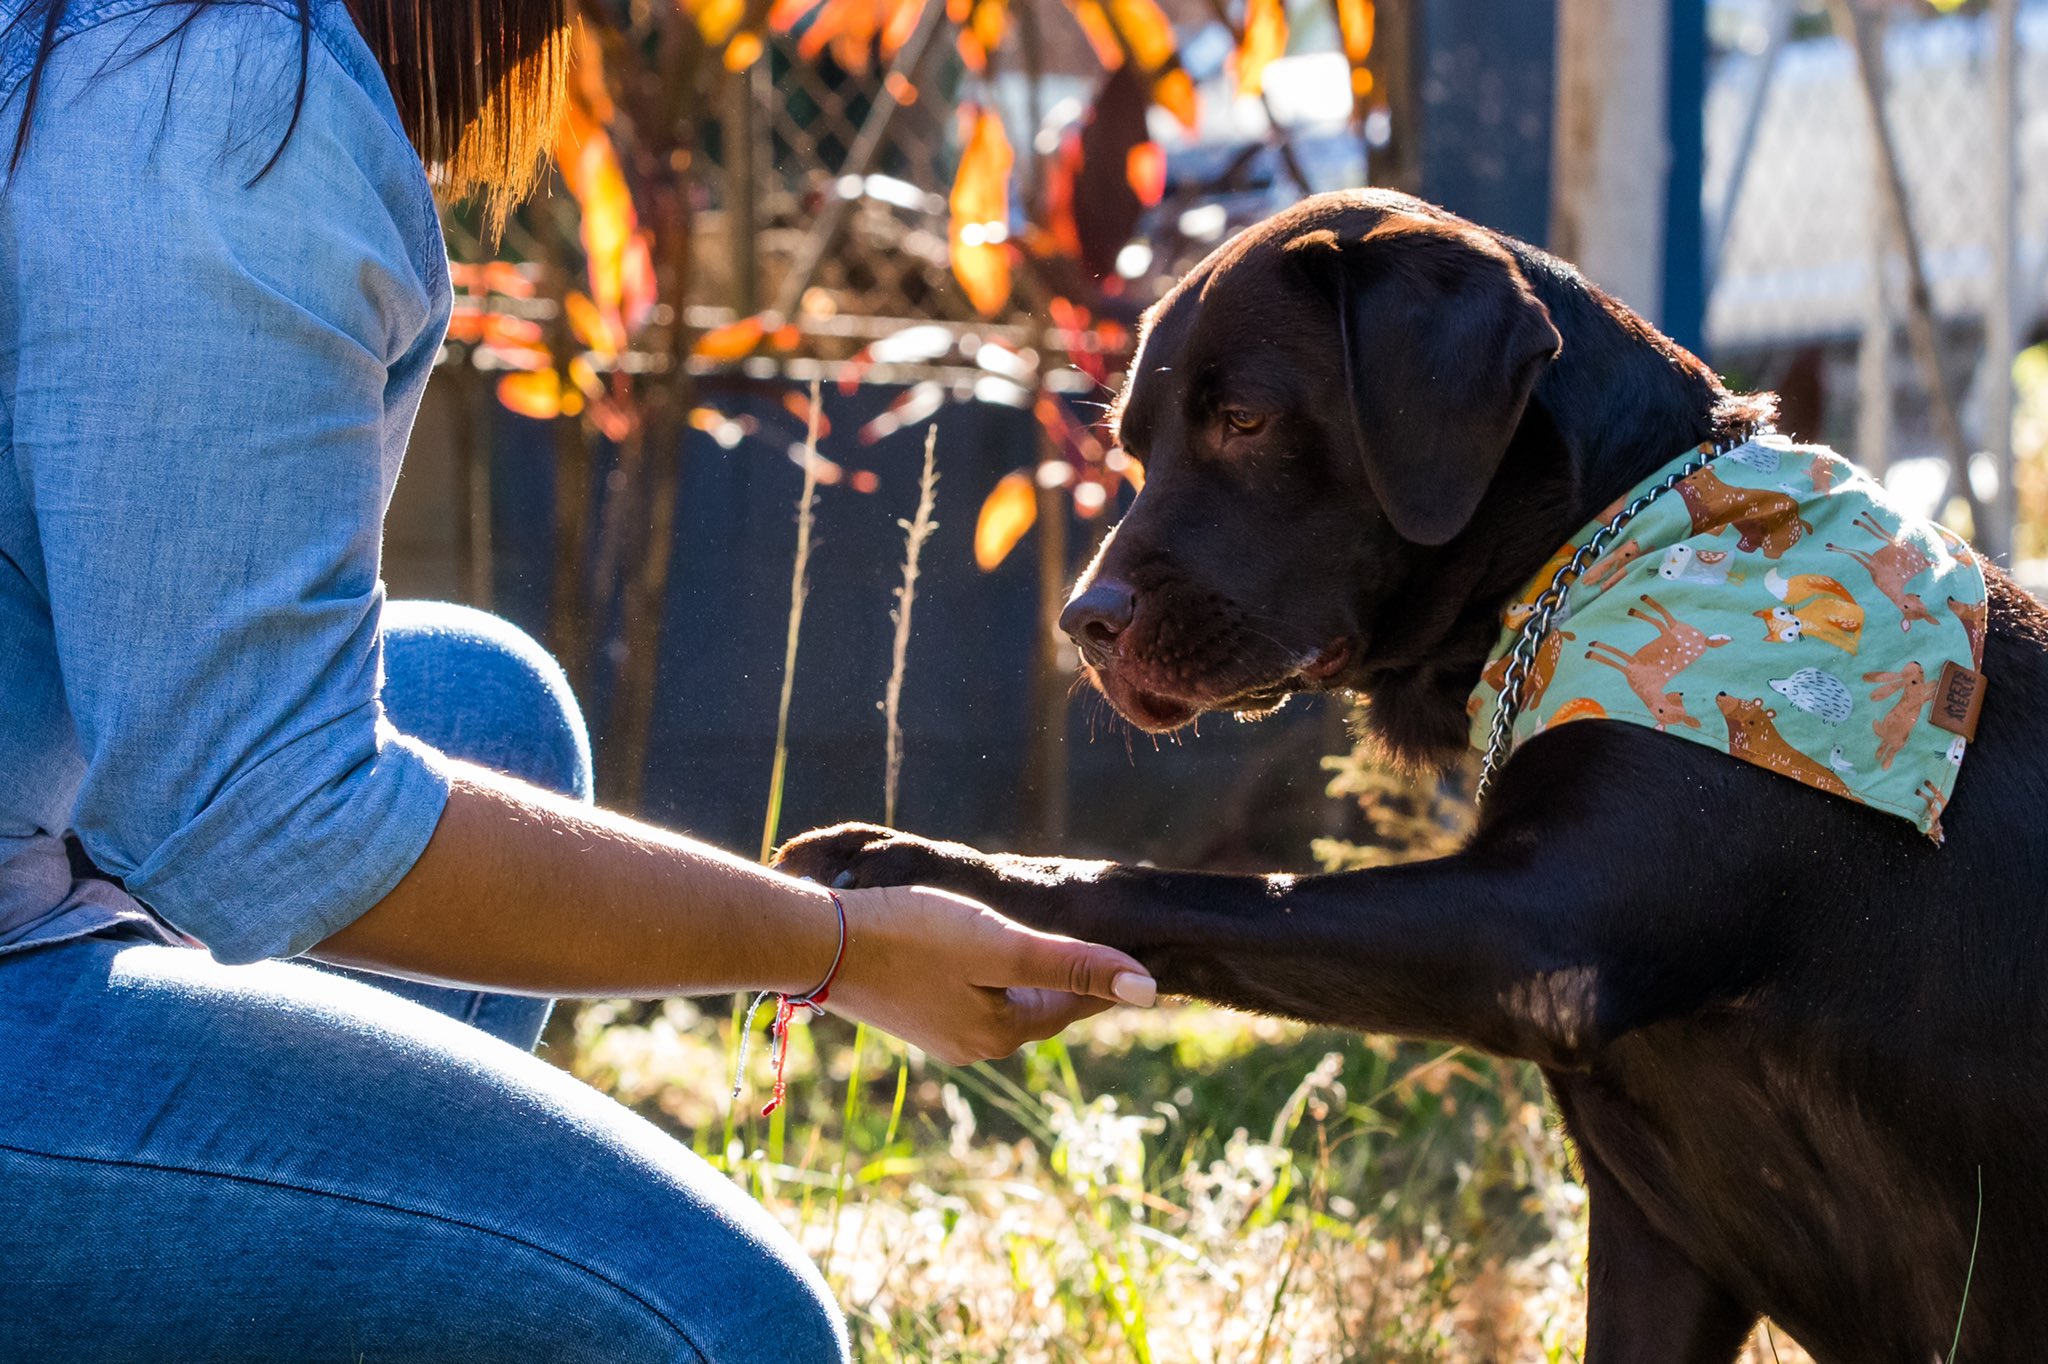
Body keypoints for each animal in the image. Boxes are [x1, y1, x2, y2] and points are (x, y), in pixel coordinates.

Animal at [1581, 593, 1728, 729]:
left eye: (1660, 711)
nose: (1680, 693)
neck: (1645, 688)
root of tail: (1706, 641)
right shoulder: (1632, 666)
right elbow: (1617, 658)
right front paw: (1591, 650)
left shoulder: (1632, 666)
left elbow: (1616, 660)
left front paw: (1591, 653)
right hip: (1675, 635)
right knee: (1666, 621)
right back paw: (1637, 605)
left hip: (1672, 636)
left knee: (1662, 622)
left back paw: (1636, 608)